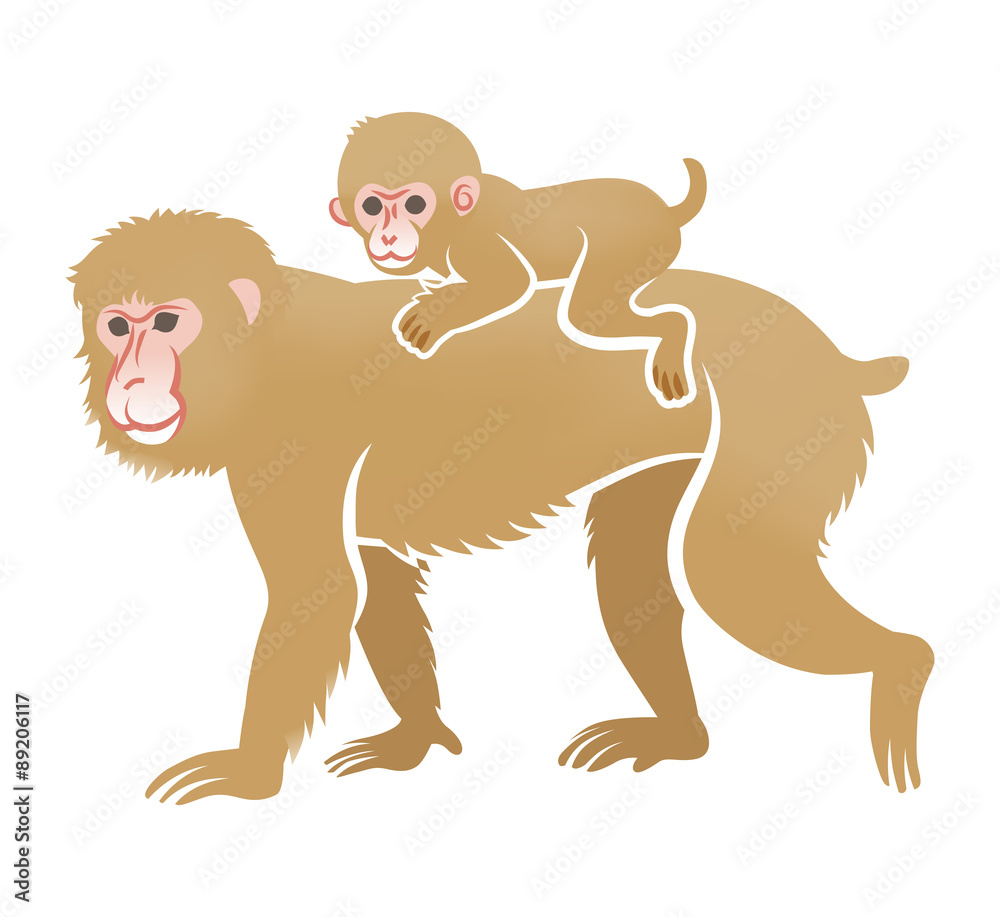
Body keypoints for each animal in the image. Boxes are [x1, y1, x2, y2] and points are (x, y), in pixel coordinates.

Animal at [71, 209, 932, 803]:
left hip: (785, 419)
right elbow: (373, 584)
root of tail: (833, 357)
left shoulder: (292, 440)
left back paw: (903, 666)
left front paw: (249, 773)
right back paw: (683, 736)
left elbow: (315, 594)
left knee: (729, 568)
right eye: (116, 326)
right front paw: (418, 737)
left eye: (168, 322)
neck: (263, 351)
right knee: (636, 568)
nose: (130, 378)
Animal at [329, 112, 706, 407]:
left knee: (586, 315)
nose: (388, 235)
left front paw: (435, 316)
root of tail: (666, 209)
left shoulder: (473, 240)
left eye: (416, 205)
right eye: (372, 207)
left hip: (633, 246)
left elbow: (513, 283)